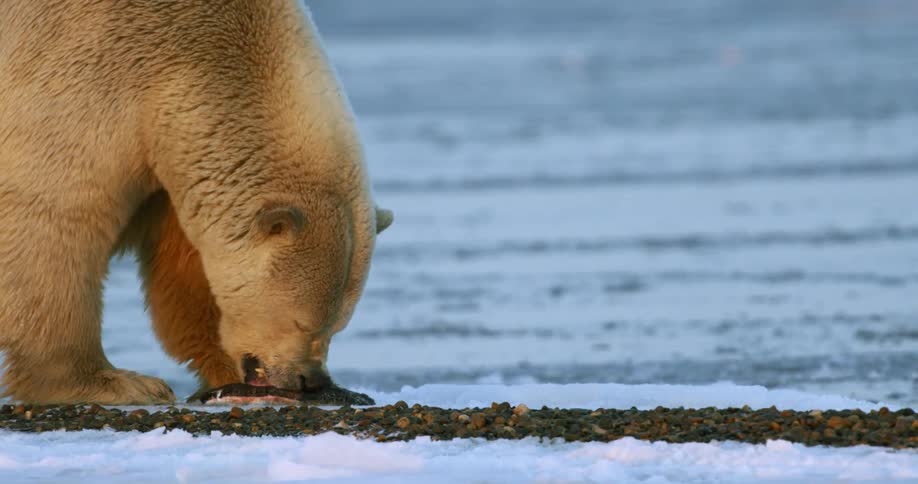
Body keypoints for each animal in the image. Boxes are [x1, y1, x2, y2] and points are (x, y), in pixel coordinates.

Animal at [0, 0, 392, 404]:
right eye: (302, 322)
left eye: (338, 325)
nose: (309, 380)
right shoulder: (79, 84)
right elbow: (55, 220)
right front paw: (116, 383)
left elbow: (185, 269)